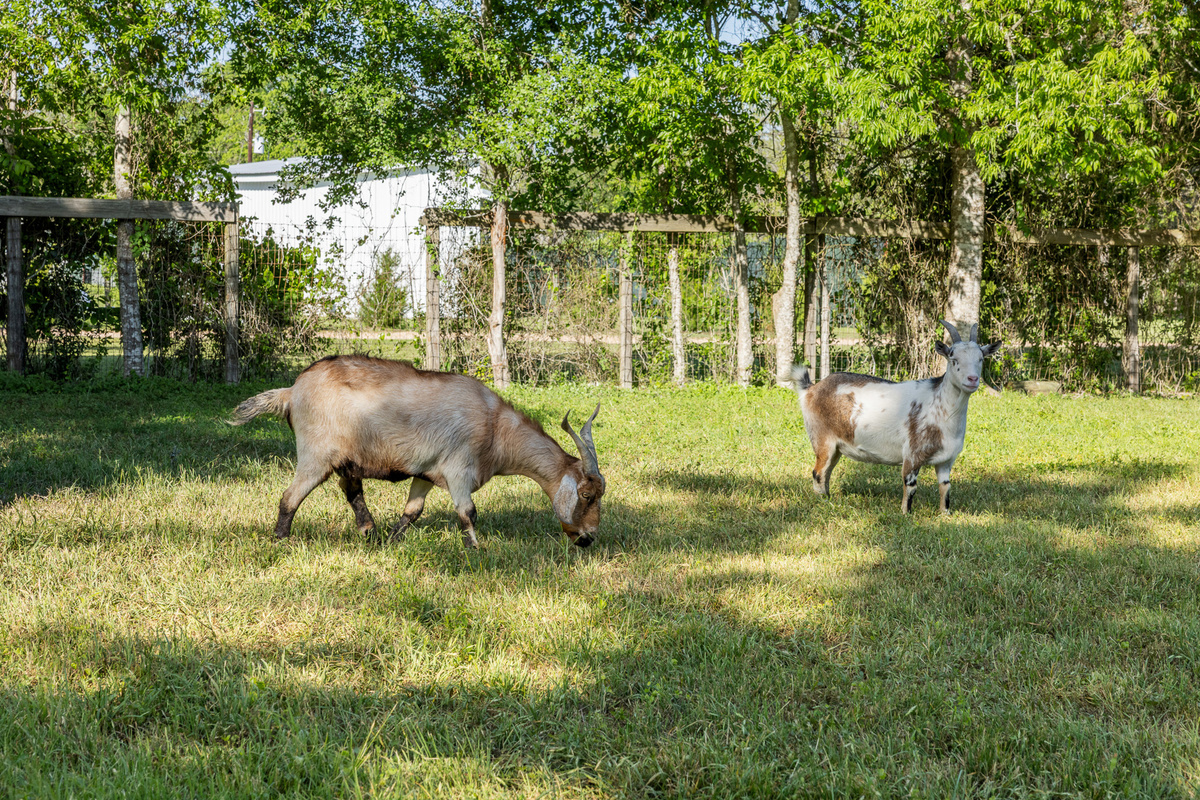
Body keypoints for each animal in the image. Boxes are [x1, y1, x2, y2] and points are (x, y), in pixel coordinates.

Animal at [230, 354, 605, 548]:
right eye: (586, 495)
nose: (588, 538)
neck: (496, 425)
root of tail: (291, 392)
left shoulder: (427, 471)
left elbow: (413, 511)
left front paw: (393, 541)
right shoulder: (458, 468)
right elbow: (467, 512)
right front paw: (476, 550)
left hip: (346, 459)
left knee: (351, 488)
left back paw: (369, 532)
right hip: (316, 455)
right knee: (290, 496)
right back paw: (281, 540)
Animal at [790, 320, 1000, 514]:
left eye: (981, 358)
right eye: (953, 358)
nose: (972, 379)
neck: (941, 409)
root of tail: (811, 389)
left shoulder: (946, 460)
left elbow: (945, 487)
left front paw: (945, 514)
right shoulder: (912, 454)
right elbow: (910, 486)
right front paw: (906, 514)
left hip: (837, 447)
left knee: (827, 472)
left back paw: (828, 498)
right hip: (822, 438)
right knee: (818, 472)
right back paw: (823, 503)